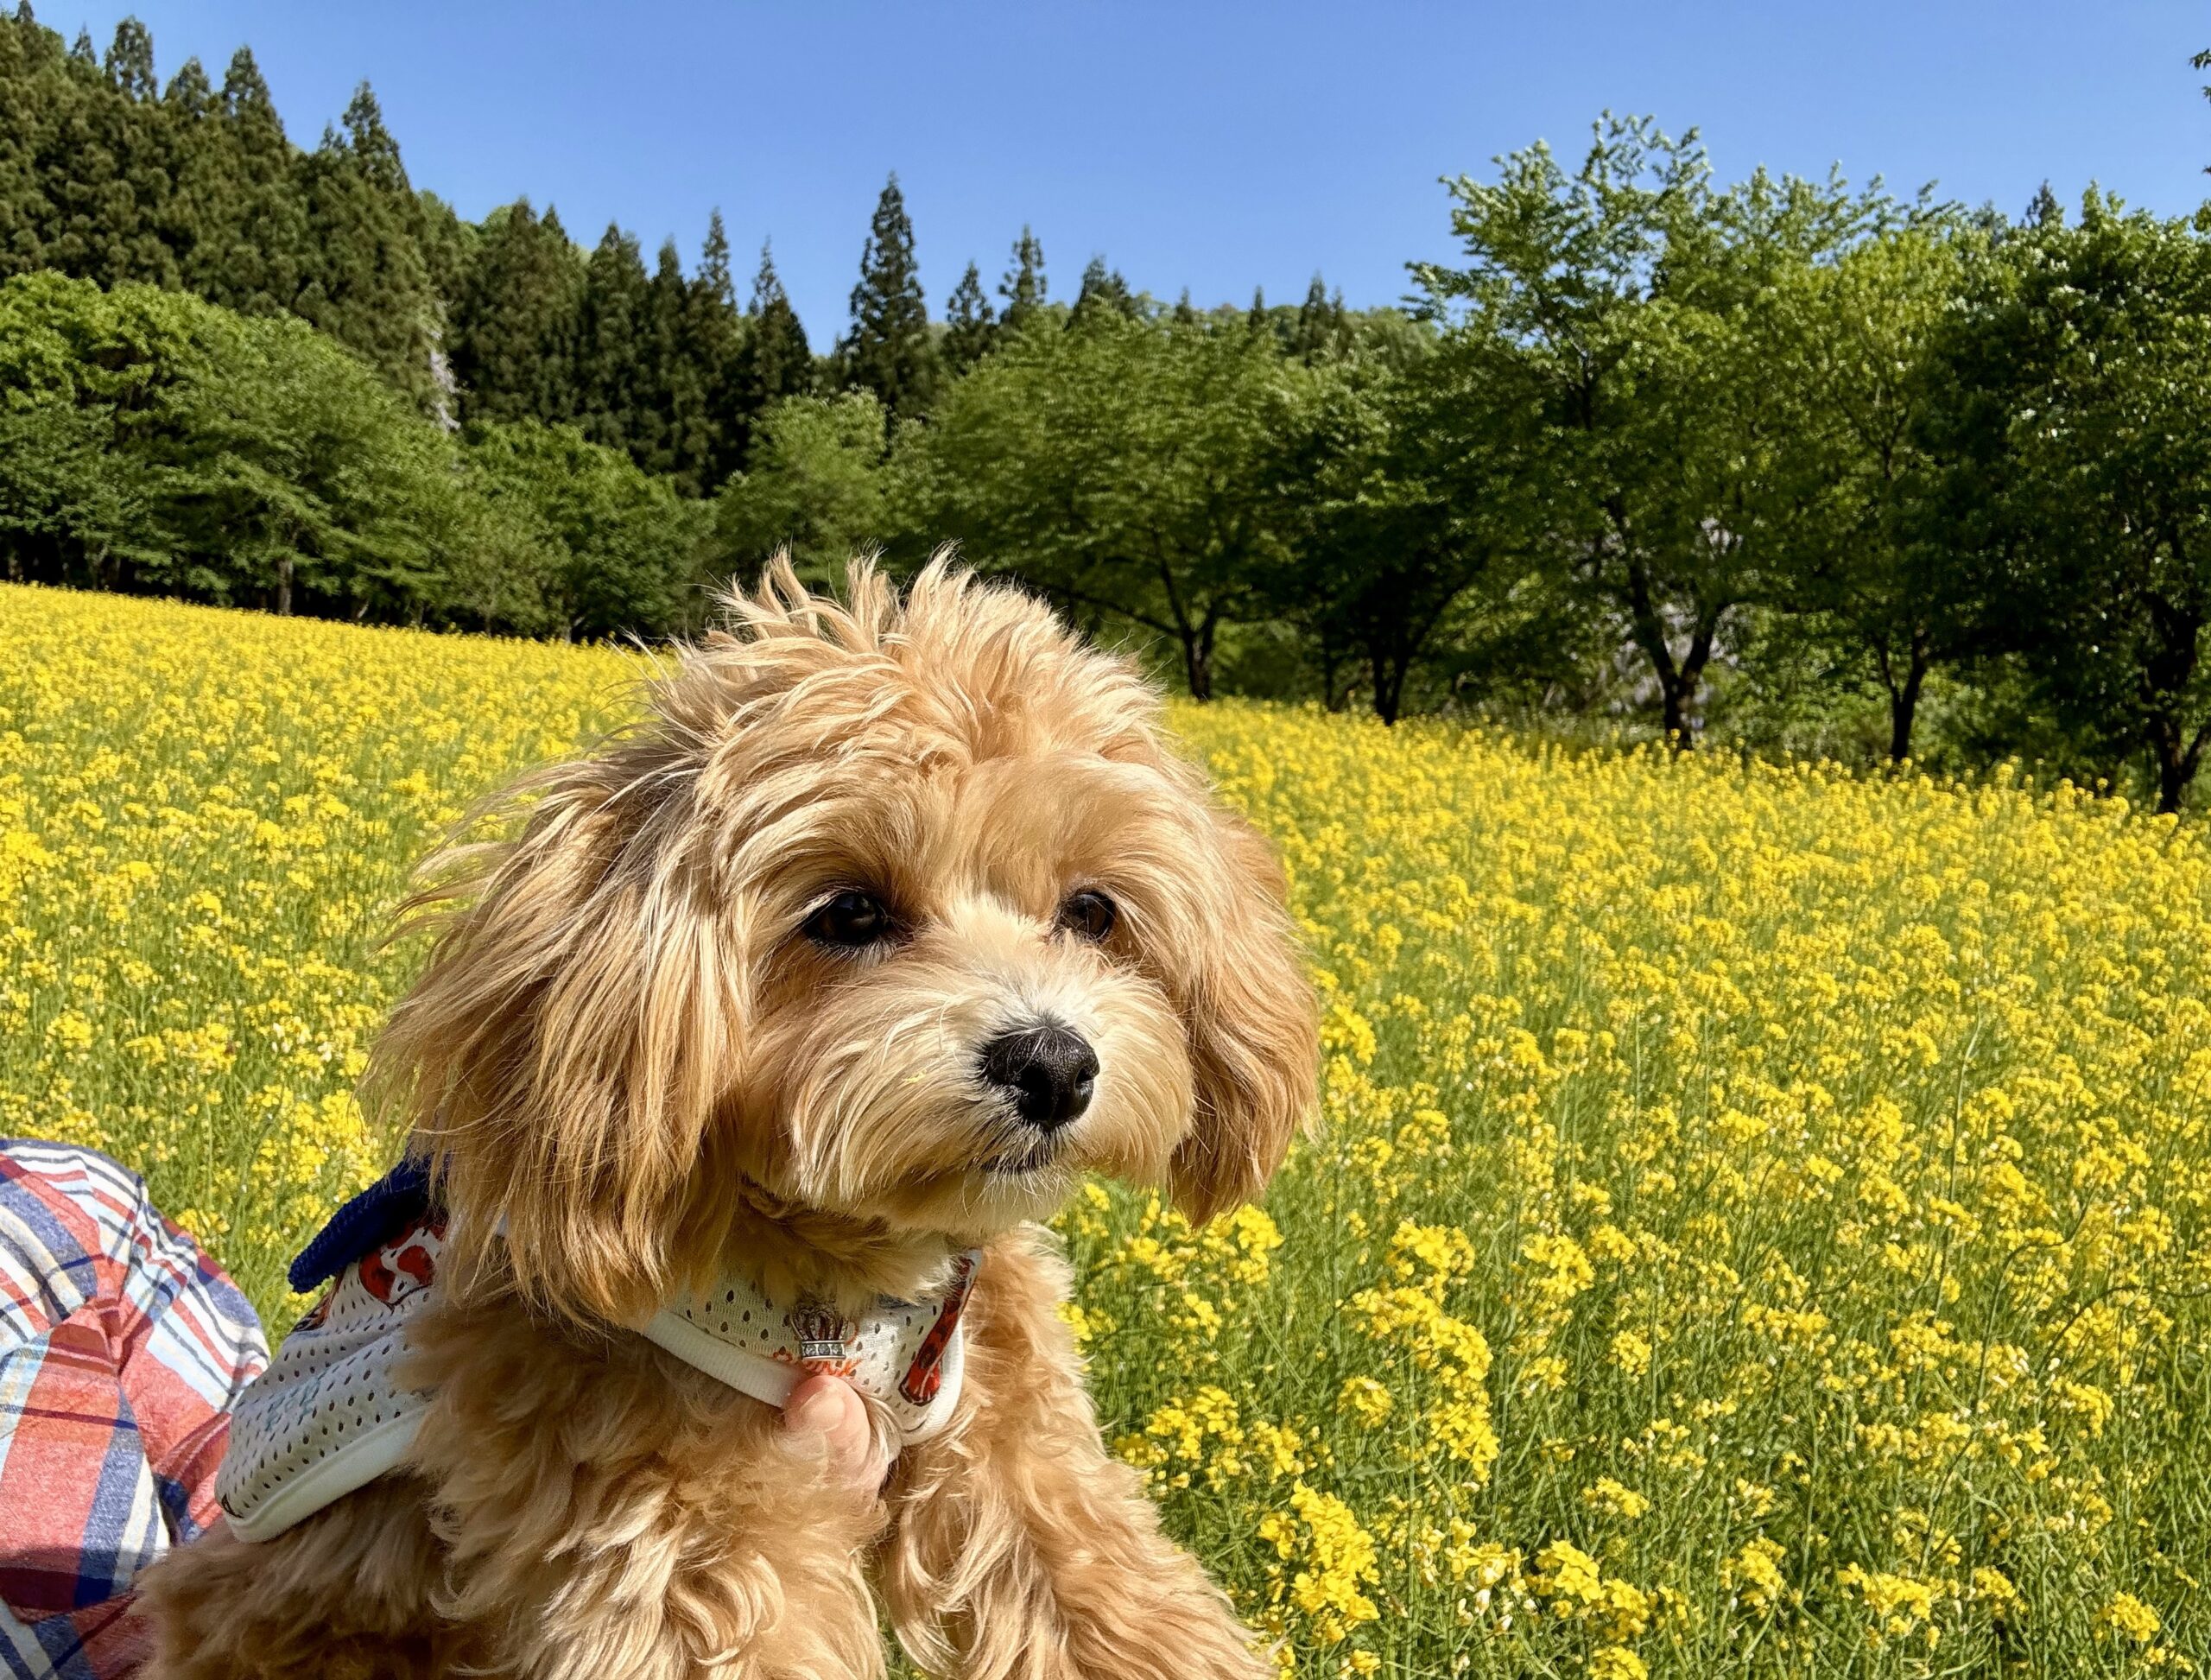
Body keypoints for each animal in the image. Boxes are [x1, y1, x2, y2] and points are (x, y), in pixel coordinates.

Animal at [138, 561, 1317, 1680]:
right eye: (849, 912)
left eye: (1090, 910)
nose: (1055, 1065)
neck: (850, 1278)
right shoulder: (677, 1531)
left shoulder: (1012, 1446)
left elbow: (1110, 1591)